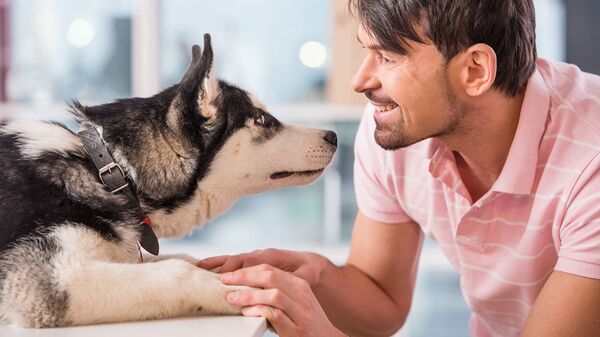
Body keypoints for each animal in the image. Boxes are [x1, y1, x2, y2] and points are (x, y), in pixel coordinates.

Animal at [0, 34, 338, 326]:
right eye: (263, 119)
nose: (333, 136)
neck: (110, 169)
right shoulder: (54, 279)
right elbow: (178, 271)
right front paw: (239, 289)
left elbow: (184, 258)